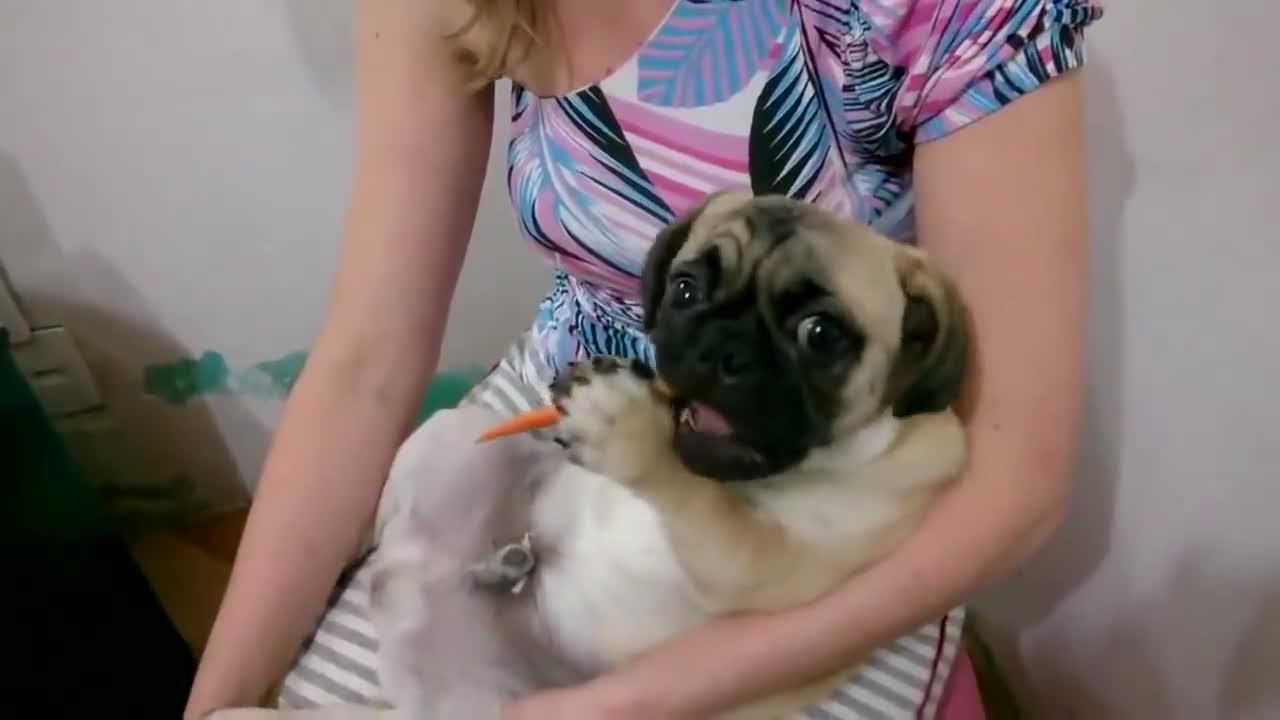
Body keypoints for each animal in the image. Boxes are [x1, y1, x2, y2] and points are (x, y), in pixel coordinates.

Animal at [350, 190, 967, 717]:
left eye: (821, 334)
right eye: (685, 289)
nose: (722, 346)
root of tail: (407, 575)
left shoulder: (763, 564)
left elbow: (698, 498)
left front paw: (628, 426)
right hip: (458, 434)